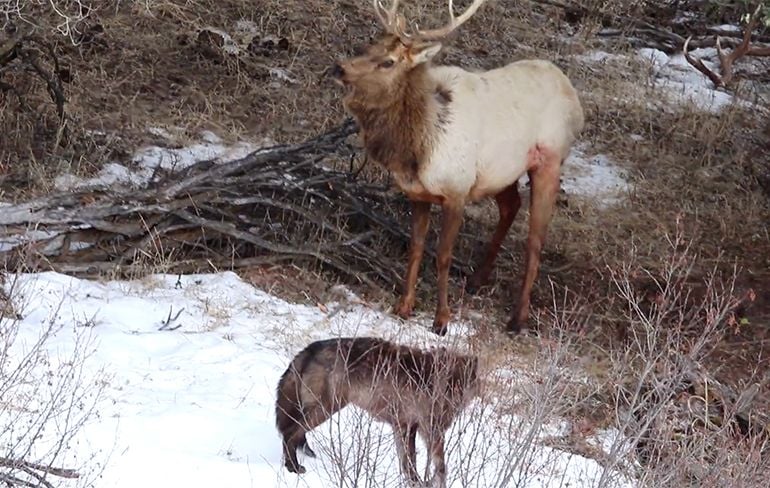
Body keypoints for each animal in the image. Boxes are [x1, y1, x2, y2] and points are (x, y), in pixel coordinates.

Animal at [276, 338, 476, 486]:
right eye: (449, 382)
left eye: (463, 384)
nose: (453, 400)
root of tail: (312, 347)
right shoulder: (429, 431)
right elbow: (438, 467)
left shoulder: (404, 426)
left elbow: (408, 464)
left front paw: (415, 483)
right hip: (326, 409)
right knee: (290, 434)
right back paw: (293, 468)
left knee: (294, 434)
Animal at [330, 0, 584, 336]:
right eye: (369, 44)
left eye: (388, 62)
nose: (339, 68)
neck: (417, 148)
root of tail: (573, 95)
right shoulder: (417, 194)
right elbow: (416, 248)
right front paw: (403, 306)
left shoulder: (457, 191)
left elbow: (443, 256)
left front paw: (442, 320)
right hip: (499, 172)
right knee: (511, 206)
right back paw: (477, 279)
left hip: (550, 160)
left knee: (535, 240)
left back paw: (518, 319)